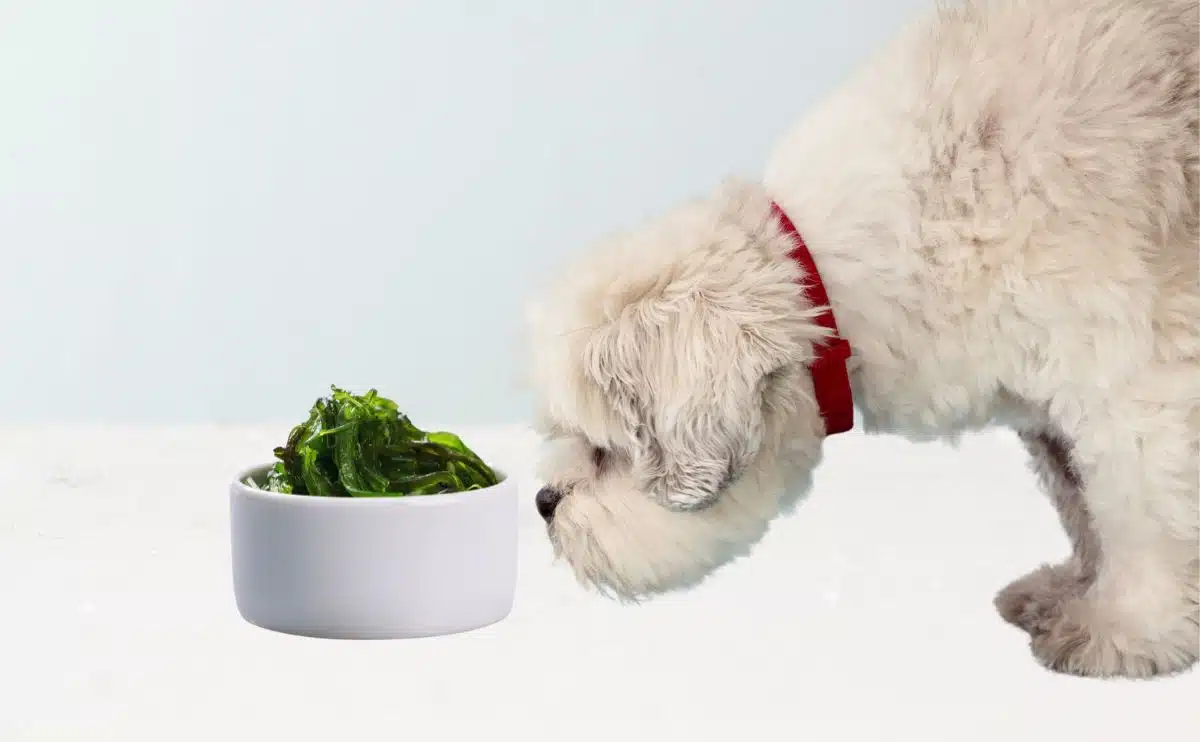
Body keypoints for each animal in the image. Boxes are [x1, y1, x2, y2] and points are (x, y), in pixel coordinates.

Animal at [528, 0, 1200, 677]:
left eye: (605, 451)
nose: (543, 502)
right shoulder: (1052, 417)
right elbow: (1081, 509)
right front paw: (1073, 593)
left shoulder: (1136, 391)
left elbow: (1140, 523)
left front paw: (1125, 630)